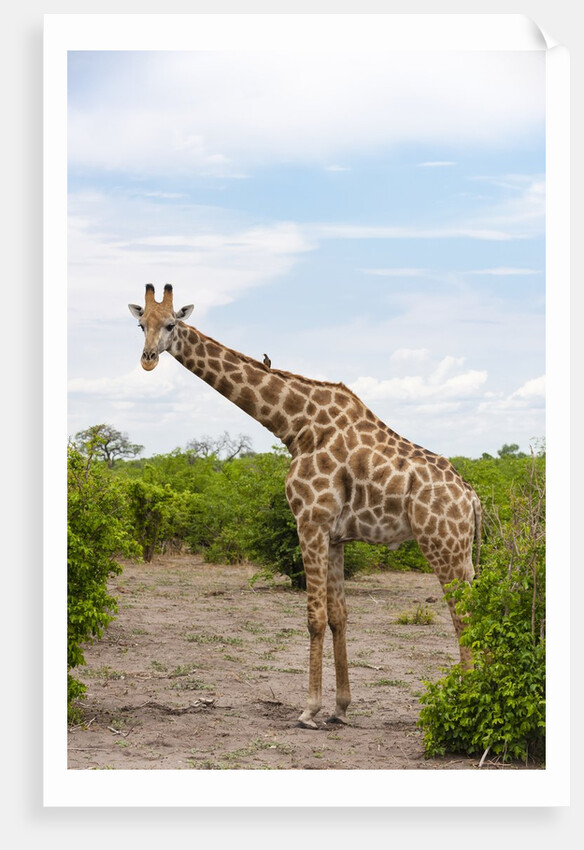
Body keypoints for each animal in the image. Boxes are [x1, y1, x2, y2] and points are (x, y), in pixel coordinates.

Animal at [129, 284, 482, 728]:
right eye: (141, 324)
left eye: (171, 324)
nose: (147, 359)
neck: (295, 426)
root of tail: (471, 497)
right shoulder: (335, 536)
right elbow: (338, 616)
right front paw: (340, 708)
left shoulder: (309, 521)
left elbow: (313, 618)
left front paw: (309, 710)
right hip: (464, 552)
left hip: (442, 546)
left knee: (463, 616)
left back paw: (467, 703)